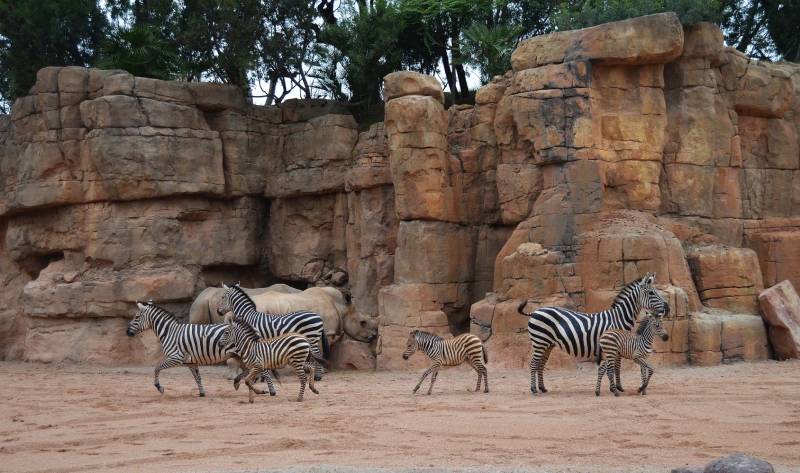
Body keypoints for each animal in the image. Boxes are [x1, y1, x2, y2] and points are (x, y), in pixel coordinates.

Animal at [125, 302, 268, 394]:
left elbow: (157, 368)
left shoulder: (176, 357)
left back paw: (267, 390)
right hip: (242, 355)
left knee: (261, 370)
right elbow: (197, 377)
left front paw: (159, 387)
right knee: (251, 371)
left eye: (136, 317)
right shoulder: (190, 361)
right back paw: (248, 385)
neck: (170, 332)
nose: (127, 332)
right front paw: (202, 392)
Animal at [520, 272, 668, 396]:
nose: (667, 307)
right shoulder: (614, 344)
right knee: (533, 364)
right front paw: (615, 388)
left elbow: (616, 366)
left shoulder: (618, 345)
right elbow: (614, 366)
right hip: (540, 341)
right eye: (651, 293)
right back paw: (534, 389)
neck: (618, 317)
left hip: (547, 344)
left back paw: (542, 388)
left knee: (541, 364)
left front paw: (617, 387)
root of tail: (535, 311)